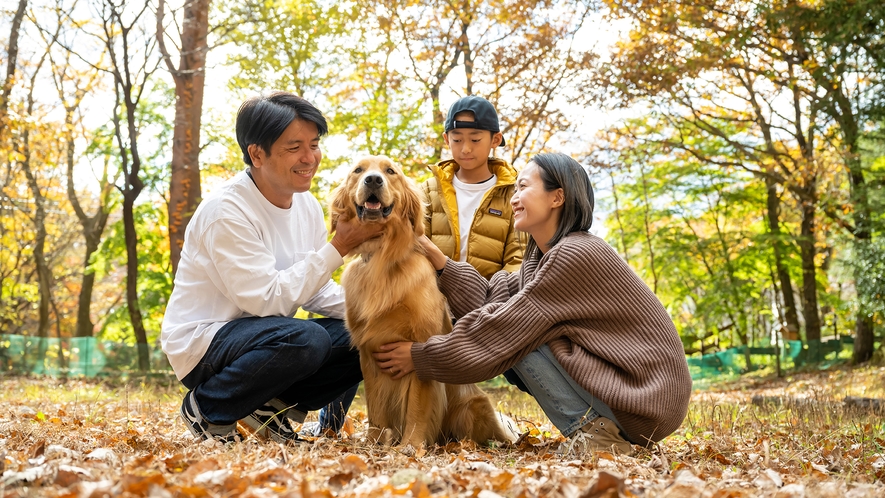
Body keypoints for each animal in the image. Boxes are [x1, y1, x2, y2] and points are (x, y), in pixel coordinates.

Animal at [328, 155, 516, 448]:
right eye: (358, 170)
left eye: (390, 171)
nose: (373, 180)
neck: (383, 258)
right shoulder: (368, 351)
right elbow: (375, 407)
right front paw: (373, 442)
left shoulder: (418, 347)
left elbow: (418, 404)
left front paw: (411, 445)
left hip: (472, 406)